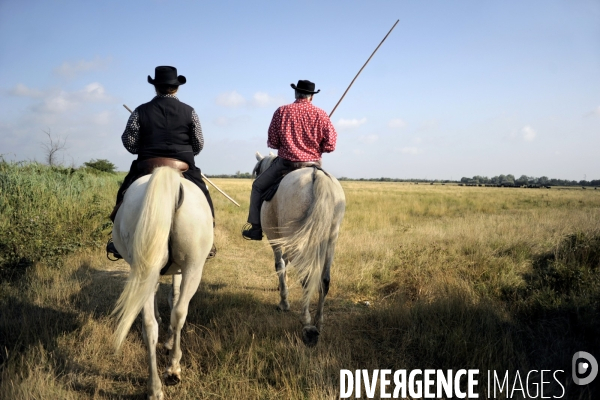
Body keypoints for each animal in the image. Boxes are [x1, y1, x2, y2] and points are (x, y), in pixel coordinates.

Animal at [110, 165, 213, 396]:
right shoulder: (180, 270)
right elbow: (174, 298)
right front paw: (169, 344)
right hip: (194, 268)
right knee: (179, 313)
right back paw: (173, 369)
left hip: (145, 268)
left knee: (150, 325)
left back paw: (154, 388)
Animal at [253, 152, 346, 346]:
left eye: (257, 170)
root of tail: (316, 175)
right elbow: (284, 264)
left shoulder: (276, 240)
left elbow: (279, 266)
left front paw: (284, 302)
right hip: (330, 240)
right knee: (324, 280)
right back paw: (318, 322)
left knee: (307, 278)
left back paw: (307, 326)